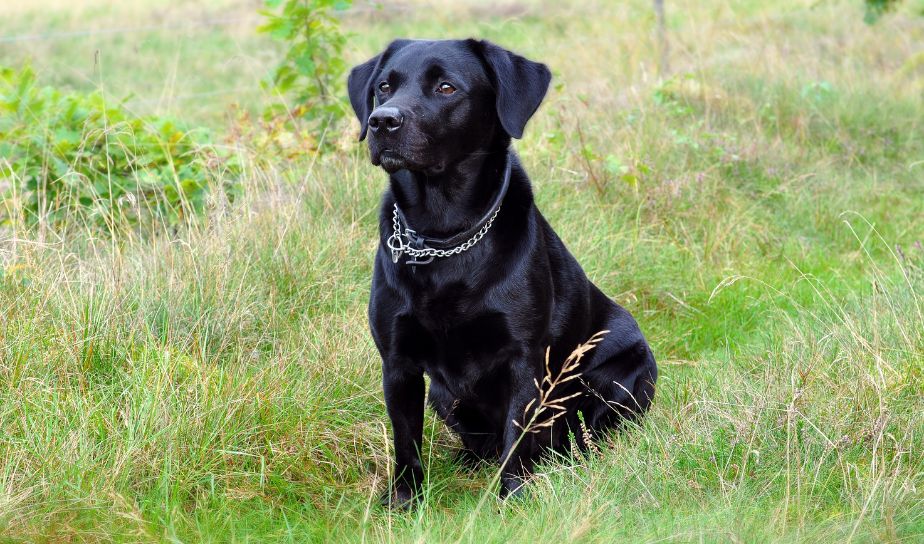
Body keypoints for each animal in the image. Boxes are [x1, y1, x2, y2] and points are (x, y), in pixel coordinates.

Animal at [346, 37, 656, 506]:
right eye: (384, 86)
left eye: (447, 87)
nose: (382, 121)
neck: (443, 236)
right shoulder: (397, 362)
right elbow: (406, 441)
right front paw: (404, 501)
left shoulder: (523, 358)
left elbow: (516, 437)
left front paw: (513, 497)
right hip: (443, 395)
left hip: (625, 374)